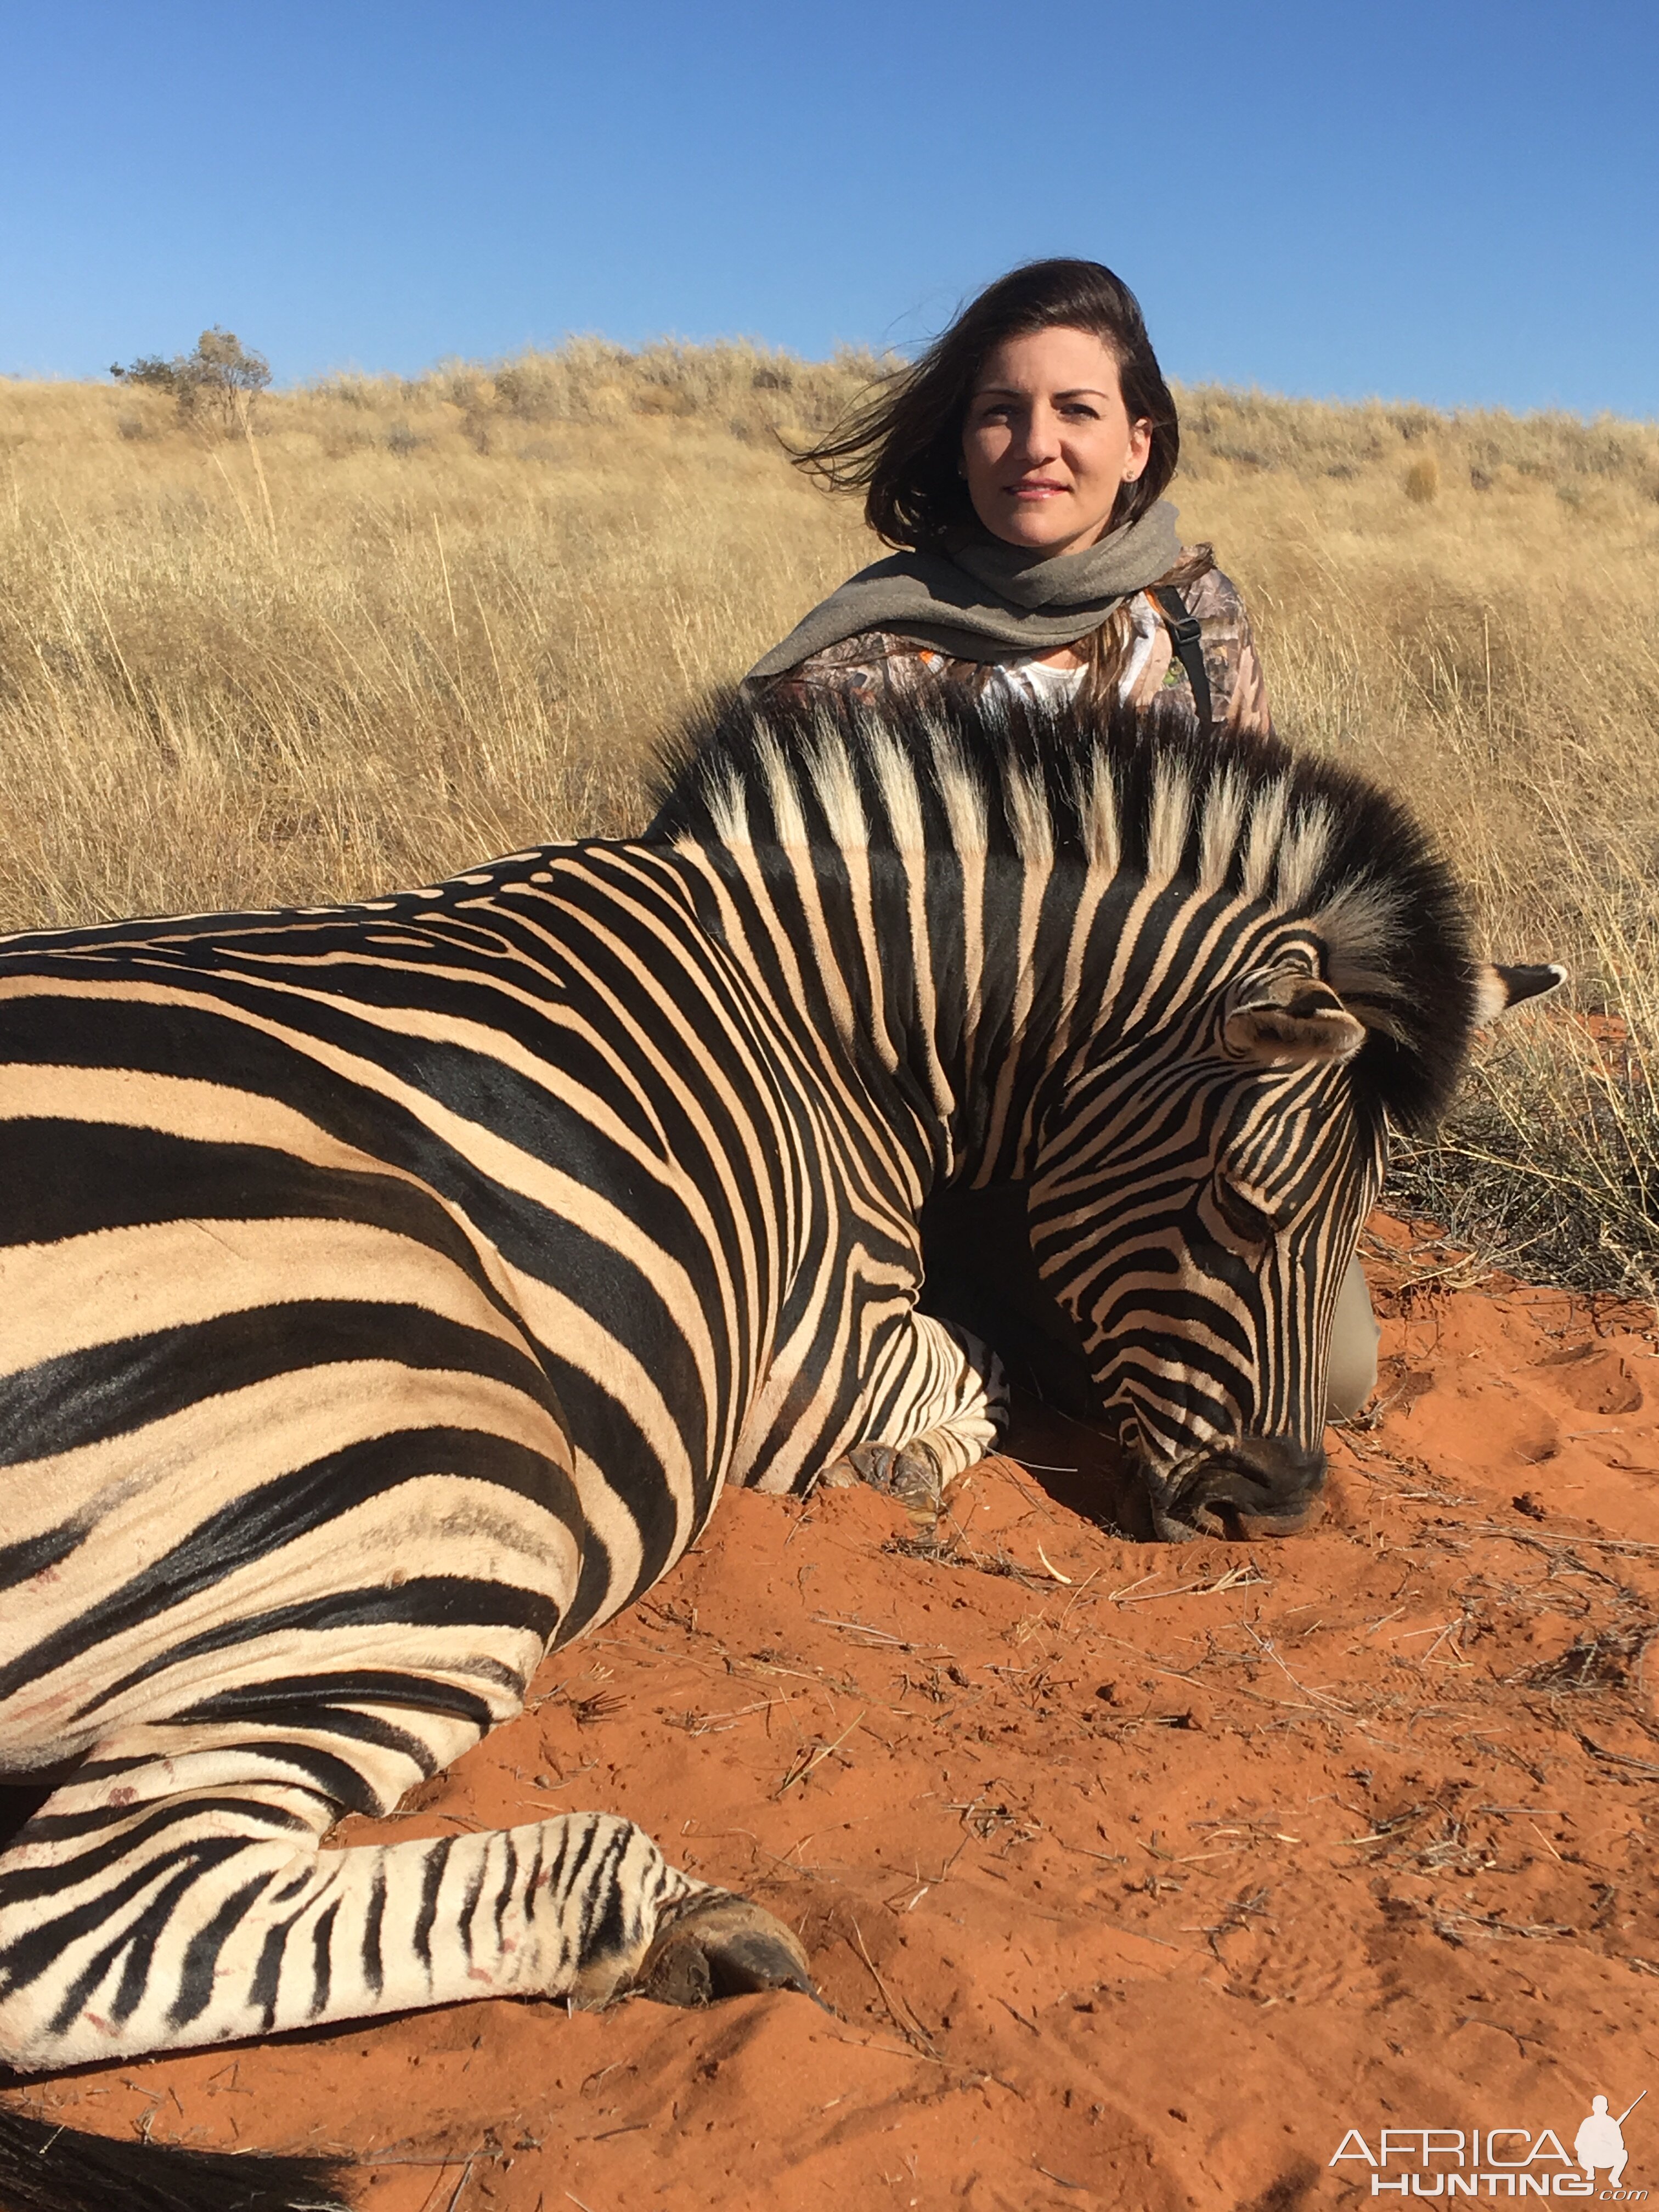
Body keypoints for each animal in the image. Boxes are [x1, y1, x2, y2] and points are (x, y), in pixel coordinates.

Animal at [0, 681, 1557, 2203]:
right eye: (1242, 1205)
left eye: (1361, 1215)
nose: (1274, 1507)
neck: (832, 1023)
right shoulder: (822, 1350)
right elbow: (975, 1362)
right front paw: (913, 1464)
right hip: (433, 1475)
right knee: (82, 1924)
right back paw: (666, 1920)